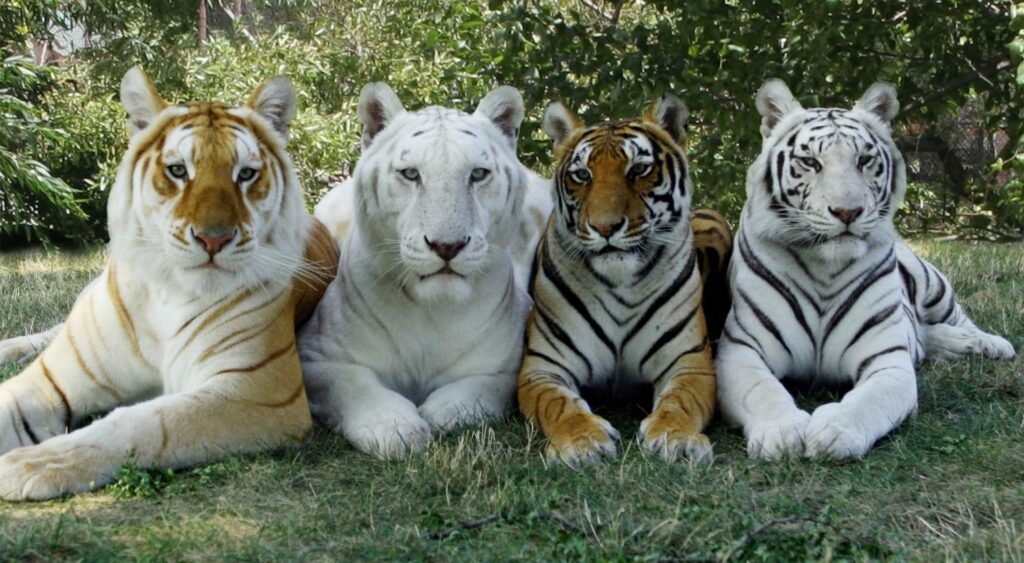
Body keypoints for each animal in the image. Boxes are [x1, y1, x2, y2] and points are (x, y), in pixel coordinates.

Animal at [0, 67, 338, 500]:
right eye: (178, 170)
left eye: (246, 174)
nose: (213, 239)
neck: (169, 292)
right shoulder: (51, 379)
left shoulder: (260, 391)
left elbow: (145, 423)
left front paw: (34, 463)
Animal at [298, 83, 551, 459]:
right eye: (411, 174)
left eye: (478, 174)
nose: (447, 246)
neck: (431, 312)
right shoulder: (314, 356)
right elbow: (352, 382)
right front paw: (394, 427)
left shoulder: (511, 362)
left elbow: (487, 385)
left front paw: (442, 410)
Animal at [517, 94, 732, 467]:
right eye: (582, 175)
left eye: (639, 170)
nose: (605, 227)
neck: (620, 283)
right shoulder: (542, 368)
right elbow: (559, 405)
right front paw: (582, 442)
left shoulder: (689, 363)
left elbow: (681, 401)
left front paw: (677, 437)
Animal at [716, 79, 1016, 461]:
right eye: (810, 162)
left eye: (864, 160)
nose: (847, 211)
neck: (823, 267)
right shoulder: (741, 349)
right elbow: (761, 391)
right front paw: (781, 433)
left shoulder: (887, 360)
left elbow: (869, 401)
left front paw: (834, 432)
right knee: (924, 334)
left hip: (932, 285)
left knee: (956, 319)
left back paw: (988, 343)